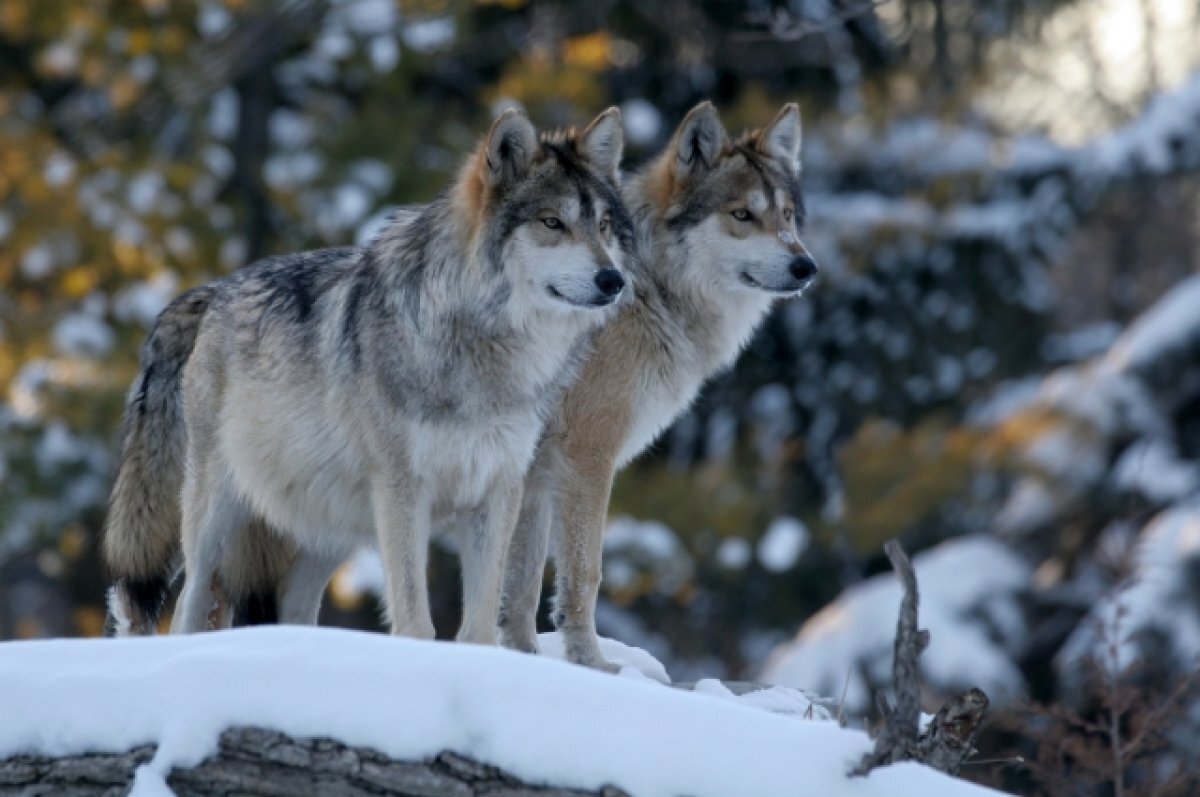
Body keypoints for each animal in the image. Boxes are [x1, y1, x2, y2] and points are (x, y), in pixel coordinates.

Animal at [100, 107, 638, 643]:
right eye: (553, 222)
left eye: (603, 225)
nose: (613, 280)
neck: (485, 348)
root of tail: (212, 291)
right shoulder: (403, 491)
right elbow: (416, 619)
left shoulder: (498, 491)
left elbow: (480, 624)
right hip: (218, 513)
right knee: (189, 604)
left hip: (328, 530)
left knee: (292, 605)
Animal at [494, 102, 816, 667]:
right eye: (742, 215)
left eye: (787, 216)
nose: (806, 266)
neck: (652, 291)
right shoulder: (586, 457)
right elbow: (584, 575)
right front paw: (592, 665)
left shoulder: (533, 474)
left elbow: (521, 587)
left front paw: (524, 660)